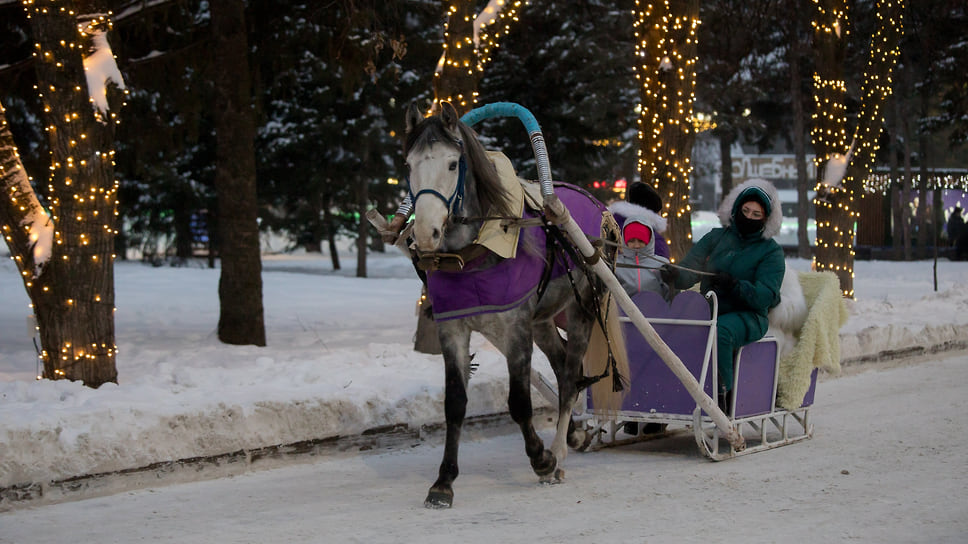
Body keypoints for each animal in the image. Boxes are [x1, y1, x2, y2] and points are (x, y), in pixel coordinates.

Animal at [400, 103, 628, 510]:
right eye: (408, 166)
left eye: (453, 164)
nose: (425, 234)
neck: (473, 253)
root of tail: (600, 208)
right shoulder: (452, 328)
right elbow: (454, 403)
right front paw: (443, 482)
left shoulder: (515, 327)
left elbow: (520, 402)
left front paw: (541, 458)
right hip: (544, 321)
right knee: (561, 364)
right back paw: (573, 435)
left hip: (583, 307)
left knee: (570, 376)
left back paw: (559, 454)